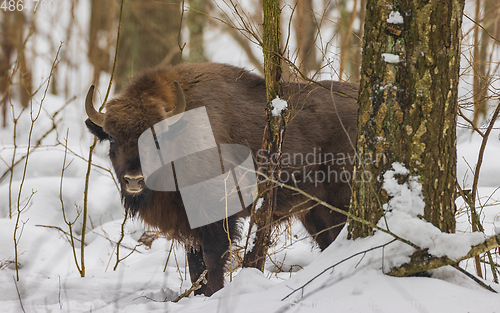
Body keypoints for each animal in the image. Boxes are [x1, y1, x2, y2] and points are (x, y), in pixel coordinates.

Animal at [86, 62, 360, 294]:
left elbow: (212, 263)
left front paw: (213, 294)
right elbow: (196, 267)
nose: (134, 180)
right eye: (112, 138)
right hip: (314, 211)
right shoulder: (190, 226)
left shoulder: (217, 219)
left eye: (156, 138)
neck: (180, 135)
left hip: (337, 205)